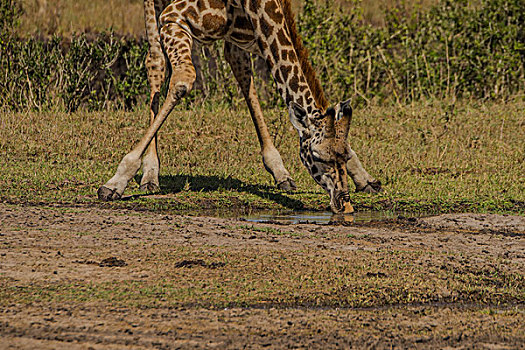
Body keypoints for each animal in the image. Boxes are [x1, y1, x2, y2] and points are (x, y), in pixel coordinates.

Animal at [98, 0, 378, 213]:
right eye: (318, 157)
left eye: (343, 156)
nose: (344, 204)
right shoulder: (174, 16)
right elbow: (181, 81)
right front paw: (117, 180)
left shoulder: (252, 36)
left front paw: (365, 178)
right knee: (155, 60)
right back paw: (150, 174)